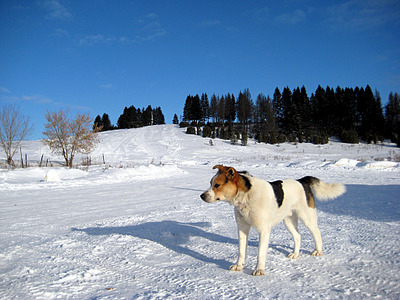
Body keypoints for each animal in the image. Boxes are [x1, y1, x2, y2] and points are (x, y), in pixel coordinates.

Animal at [202, 165, 346, 276]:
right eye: (210, 183)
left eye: (217, 185)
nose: (202, 196)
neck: (246, 197)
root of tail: (301, 181)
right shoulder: (242, 228)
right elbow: (241, 251)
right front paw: (239, 266)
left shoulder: (263, 231)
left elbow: (260, 253)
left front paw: (259, 270)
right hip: (288, 220)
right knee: (298, 236)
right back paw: (295, 254)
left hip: (307, 217)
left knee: (317, 233)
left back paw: (318, 251)